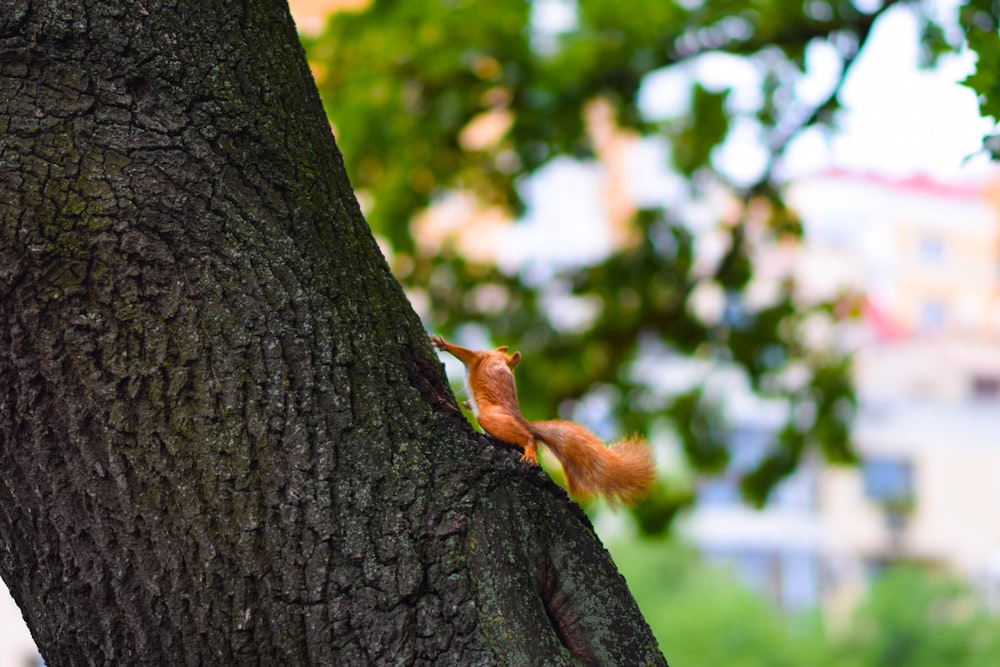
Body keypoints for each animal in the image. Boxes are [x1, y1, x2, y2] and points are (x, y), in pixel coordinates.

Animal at [430, 336, 656, 504]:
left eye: (504, 351)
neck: (499, 358)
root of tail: (520, 419)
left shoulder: (479, 357)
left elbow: (465, 353)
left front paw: (442, 343)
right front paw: (468, 403)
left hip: (490, 416)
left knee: (528, 438)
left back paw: (529, 449)